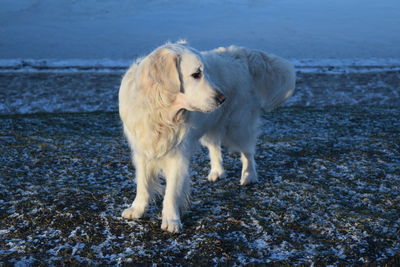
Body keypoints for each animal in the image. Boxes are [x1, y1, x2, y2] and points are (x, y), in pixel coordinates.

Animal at [117, 41, 296, 232]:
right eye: (196, 74)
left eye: (206, 73)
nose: (222, 98)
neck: (161, 113)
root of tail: (241, 53)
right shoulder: (142, 149)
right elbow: (142, 184)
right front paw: (137, 209)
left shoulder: (178, 155)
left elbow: (171, 191)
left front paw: (171, 219)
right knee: (215, 146)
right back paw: (217, 171)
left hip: (238, 125)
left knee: (248, 152)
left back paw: (249, 176)